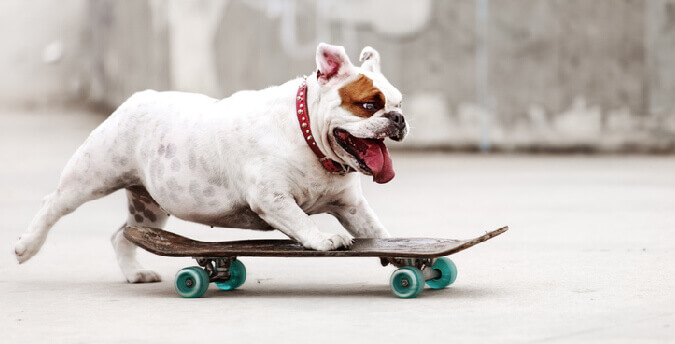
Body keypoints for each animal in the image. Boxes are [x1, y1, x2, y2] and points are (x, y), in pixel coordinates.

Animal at [14, 43, 406, 282]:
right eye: (369, 105)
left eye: (399, 102)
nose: (398, 118)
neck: (308, 135)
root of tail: (136, 98)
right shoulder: (272, 199)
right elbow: (301, 220)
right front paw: (323, 239)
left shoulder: (352, 207)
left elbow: (377, 231)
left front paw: (399, 252)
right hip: (90, 177)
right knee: (53, 204)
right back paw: (26, 246)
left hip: (149, 207)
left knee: (123, 234)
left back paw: (134, 273)